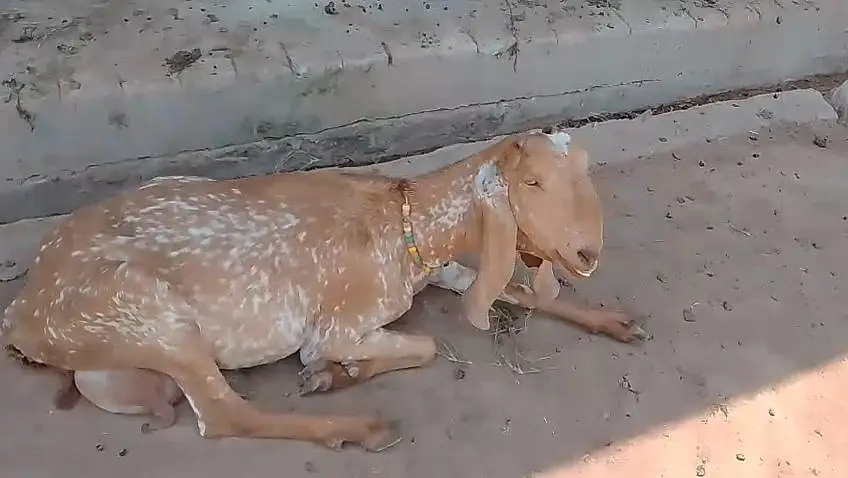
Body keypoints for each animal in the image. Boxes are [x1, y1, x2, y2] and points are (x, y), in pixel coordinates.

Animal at [2, 128, 645, 451]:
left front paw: (613, 320)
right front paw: (333, 371)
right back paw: (361, 429)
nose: (587, 254)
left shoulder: (439, 267)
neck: (407, 216)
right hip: (152, 315)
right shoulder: (335, 324)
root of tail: (22, 312)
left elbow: (509, 288)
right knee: (224, 415)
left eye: (584, 171)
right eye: (531, 181)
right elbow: (423, 346)